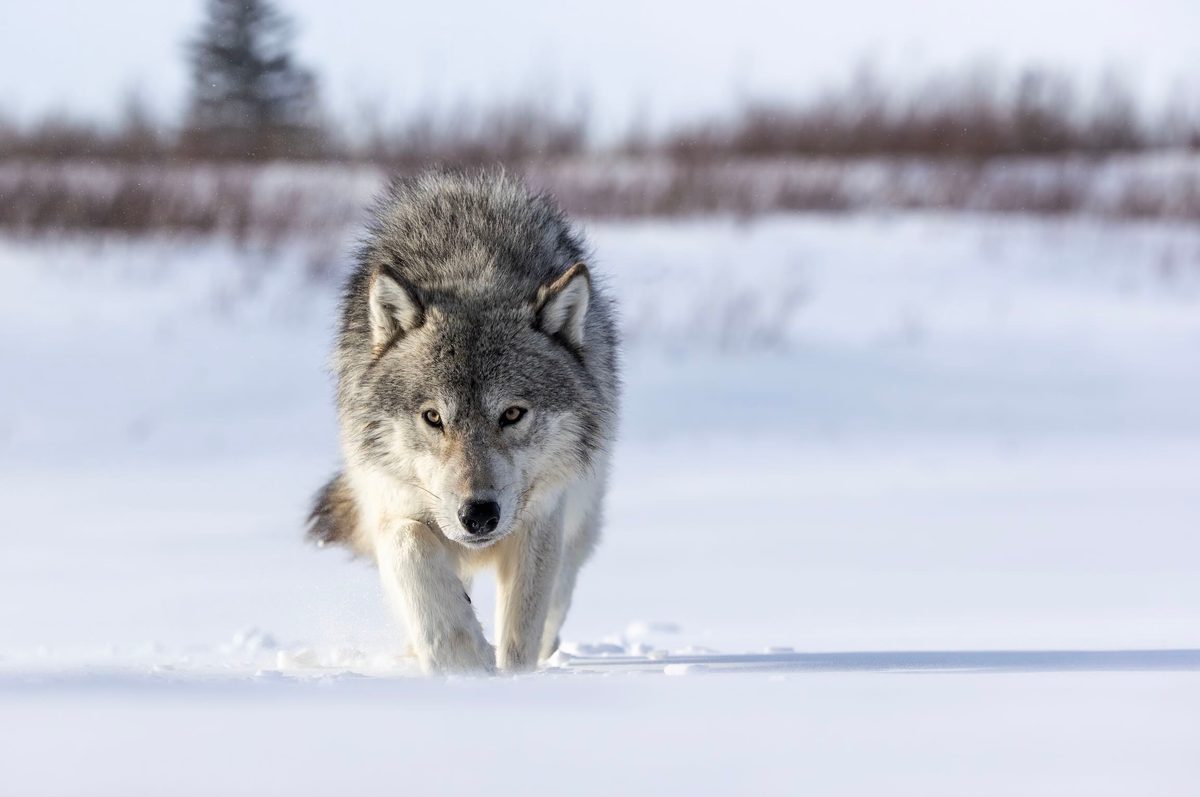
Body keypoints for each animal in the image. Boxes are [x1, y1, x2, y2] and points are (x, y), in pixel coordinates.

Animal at [308, 171, 619, 674]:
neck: (473, 263)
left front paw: (510, 677)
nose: (478, 516)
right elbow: (411, 550)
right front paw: (462, 660)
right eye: (433, 417)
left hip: (580, 520)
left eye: (512, 414)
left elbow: (521, 631)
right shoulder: (389, 504)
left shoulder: (542, 516)